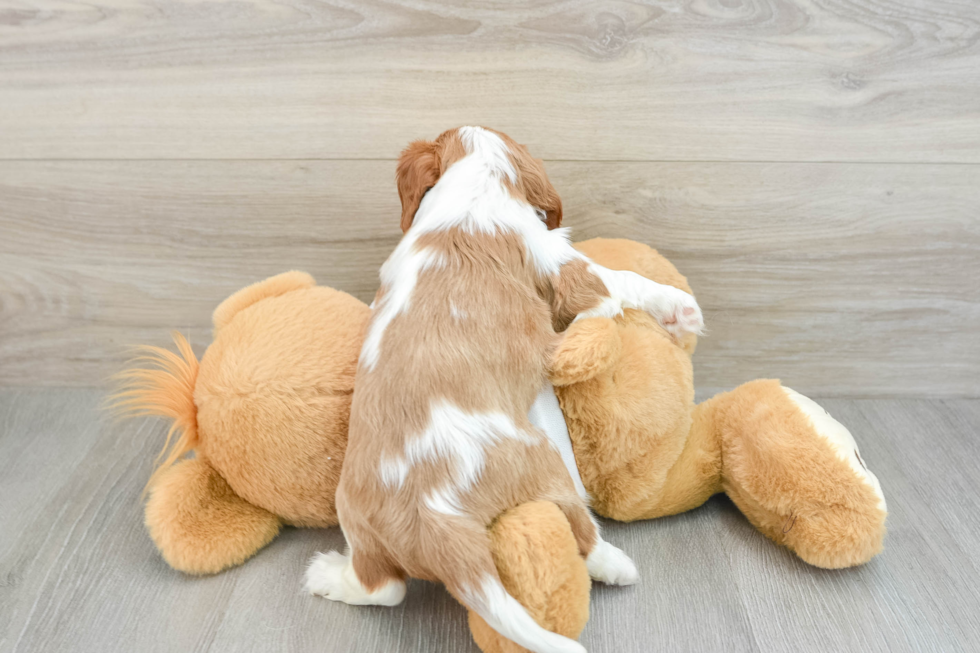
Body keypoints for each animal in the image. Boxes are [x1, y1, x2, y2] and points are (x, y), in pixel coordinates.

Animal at [302, 127, 700, 652]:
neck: (475, 181)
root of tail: (436, 522)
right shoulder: (564, 264)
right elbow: (622, 283)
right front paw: (680, 308)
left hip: (354, 514)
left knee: (383, 588)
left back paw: (329, 577)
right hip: (545, 460)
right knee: (582, 528)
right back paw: (616, 564)